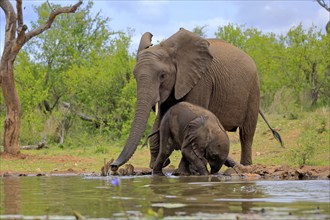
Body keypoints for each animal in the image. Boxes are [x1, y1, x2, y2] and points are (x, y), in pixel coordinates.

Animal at [110, 27, 278, 172]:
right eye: (135, 77)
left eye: (163, 76)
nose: (113, 166)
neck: (170, 48)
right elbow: (162, 117)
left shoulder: (201, 80)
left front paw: (183, 171)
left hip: (254, 89)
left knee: (246, 133)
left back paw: (246, 166)